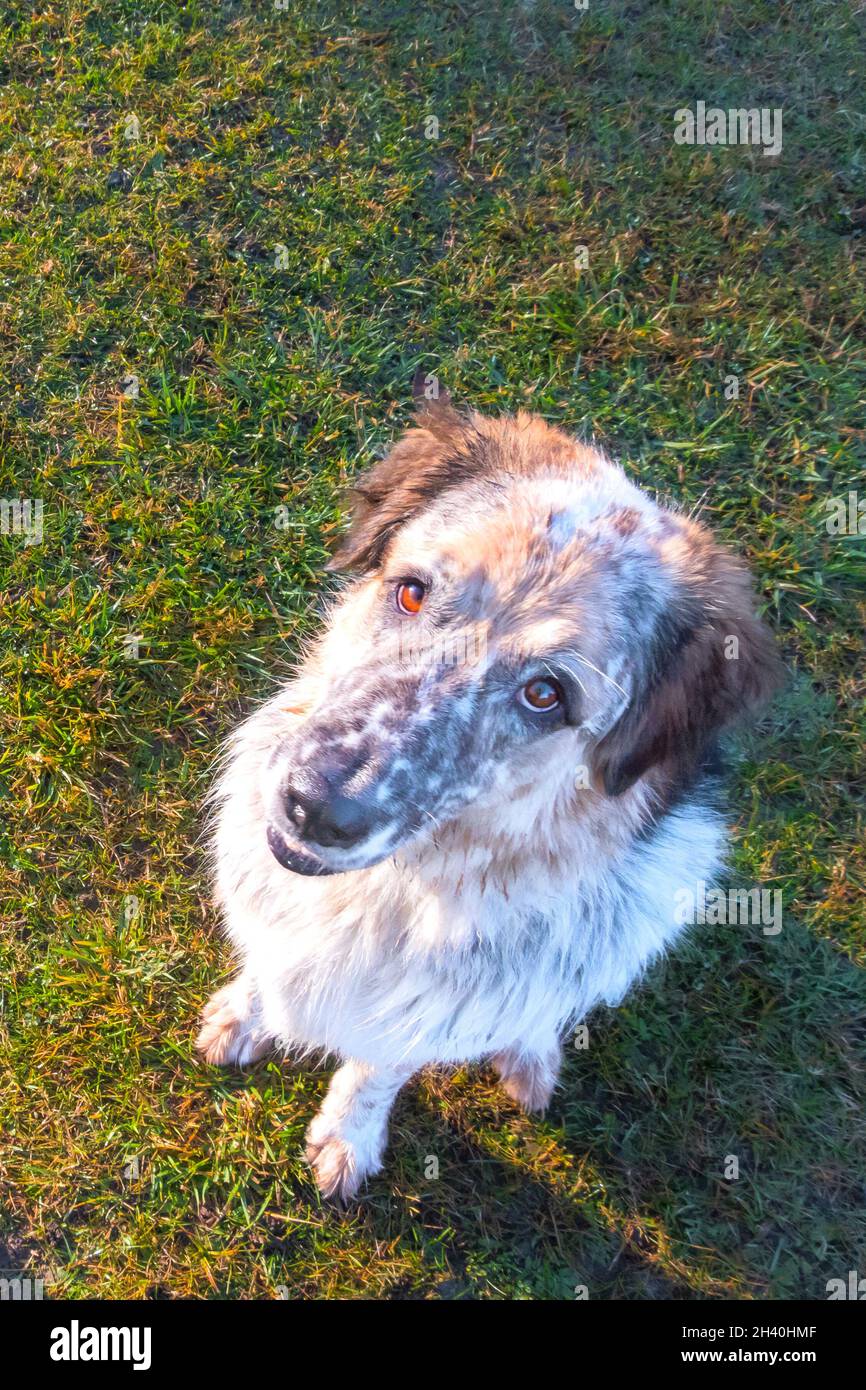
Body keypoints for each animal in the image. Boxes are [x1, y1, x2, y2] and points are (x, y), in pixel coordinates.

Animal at [195, 389, 778, 1195]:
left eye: (545, 694)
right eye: (410, 592)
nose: (313, 807)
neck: (401, 889)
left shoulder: (426, 1013)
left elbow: (380, 1068)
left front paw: (348, 1137)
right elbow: (264, 968)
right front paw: (242, 1016)